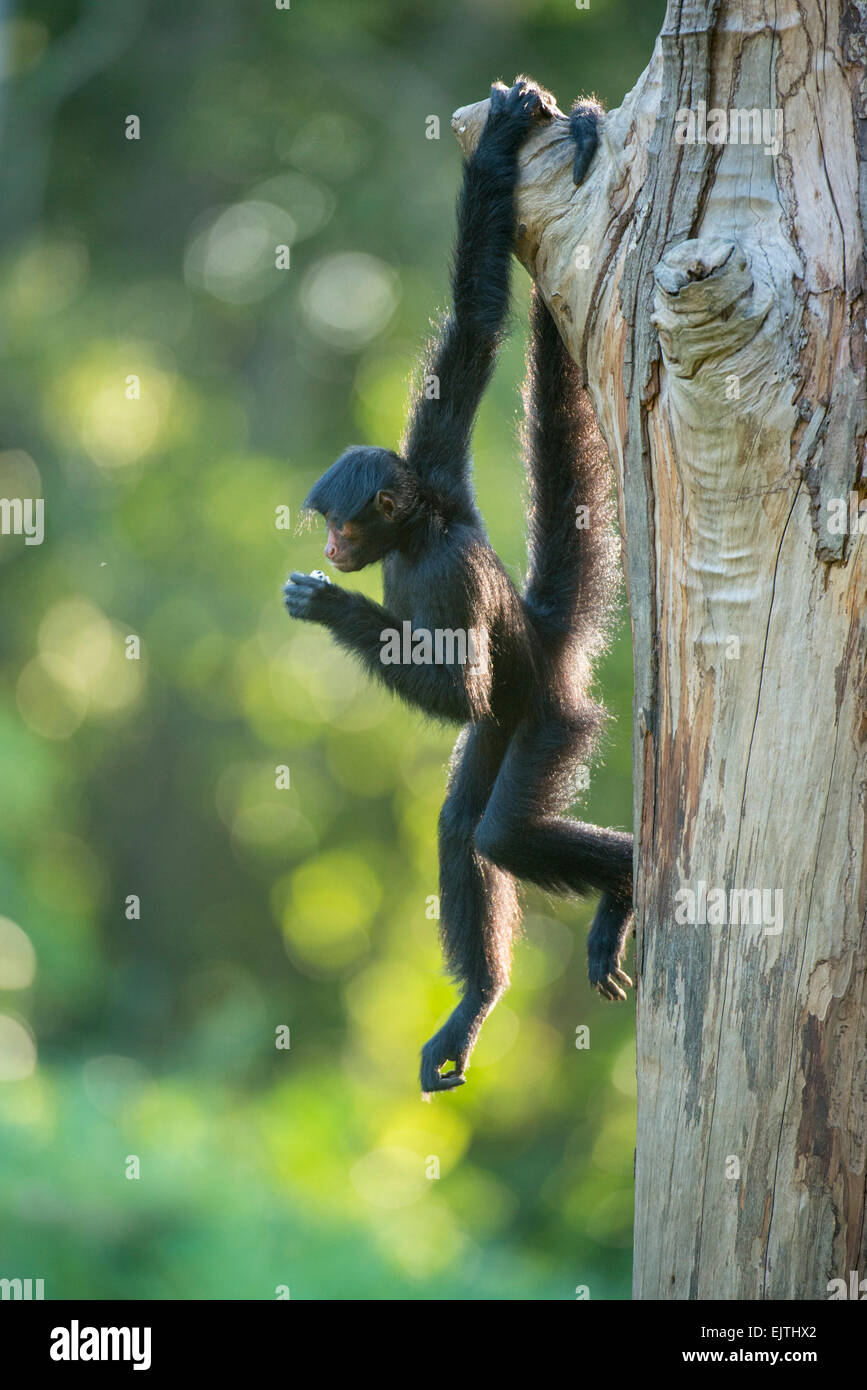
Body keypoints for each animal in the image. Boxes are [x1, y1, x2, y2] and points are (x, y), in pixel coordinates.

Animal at [287, 78, 633, 1095]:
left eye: (344, 523)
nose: (334, 546)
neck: (422, 525)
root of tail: (546, 633)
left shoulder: (441, 564)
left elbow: (456, 683)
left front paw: (335, 610)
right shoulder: (435, 454)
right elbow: (476, 323)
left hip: (554, 718)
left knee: (499, 834)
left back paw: (625, 883)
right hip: (508, 728)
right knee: (458, 821)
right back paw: (478, 999)